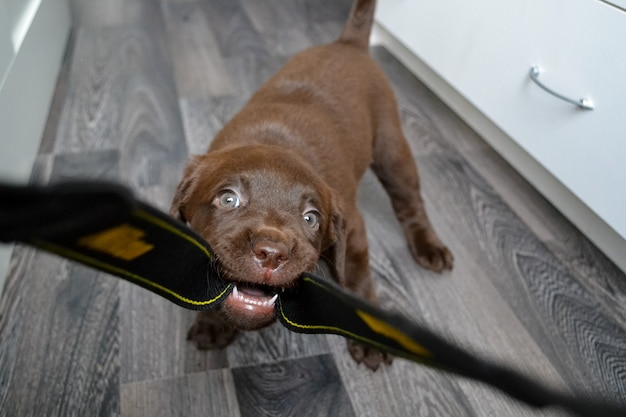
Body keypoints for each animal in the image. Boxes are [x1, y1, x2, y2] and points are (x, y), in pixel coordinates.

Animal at [172, 0, 448, 370]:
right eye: (228, 200)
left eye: (311, 218)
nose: (272, 253)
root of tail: (348, 44)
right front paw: (213, 323)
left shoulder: (354, 231)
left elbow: (358, 280)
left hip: (392, 151)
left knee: (409, 200)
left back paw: (429, 247)